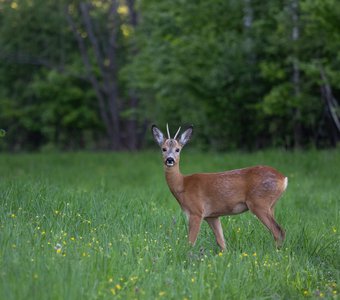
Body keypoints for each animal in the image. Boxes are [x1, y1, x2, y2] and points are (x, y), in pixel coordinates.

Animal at [151, 123, 286, 250]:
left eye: (178, 149)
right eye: (163, 149)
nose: (170, 159)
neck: (183, 185)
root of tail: (283, 178)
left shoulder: (196, 211)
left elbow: (190, 242)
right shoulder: (212, 216)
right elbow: (222, 243)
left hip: (259, 203)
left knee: (278, 231)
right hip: (270, 205)